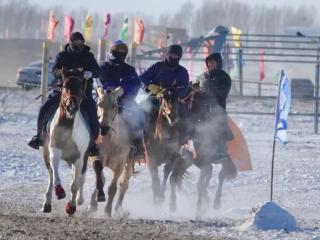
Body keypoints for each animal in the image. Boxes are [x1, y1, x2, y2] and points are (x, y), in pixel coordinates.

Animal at [40, 68, 90, 216]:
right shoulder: (53, 151)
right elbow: (55, 174)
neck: (68, 126)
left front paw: (71, 207)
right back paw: (47, 203)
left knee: (80, 179)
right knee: (51, 176)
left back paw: (79, 200)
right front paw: (59, 191)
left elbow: (75, 184)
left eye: (80, 86)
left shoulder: (79, 158)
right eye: (64, 86)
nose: (71, 106)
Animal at [89, 86, 135, 218]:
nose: (103, 128)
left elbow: (113, 188)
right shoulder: (97, 156)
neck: (111, 141)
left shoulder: (120, 164)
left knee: (123, 185)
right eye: (99, 103)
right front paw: (94, 202)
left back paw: (119, 210)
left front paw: (107, 211)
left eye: (114, 106)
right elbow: (99, 177)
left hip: (130, 162)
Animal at [182, 86, 238, 214]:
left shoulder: (206, 165)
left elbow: (200, 185)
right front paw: (202, 203)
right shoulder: (200, 164)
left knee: (221, 176)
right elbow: (202, 183)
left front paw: (199, 207)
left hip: (220, 160)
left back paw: (216, 202)